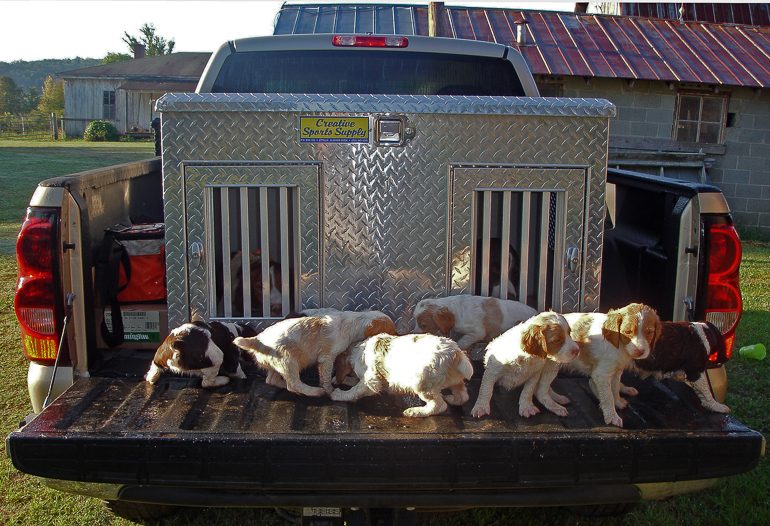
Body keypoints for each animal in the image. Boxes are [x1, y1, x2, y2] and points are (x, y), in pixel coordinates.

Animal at [232, 312, 396, 398]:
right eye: (391, 330)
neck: (353, 322)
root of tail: (256, 340)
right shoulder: (327, 358)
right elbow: (326, 377)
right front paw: (329, 390)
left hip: (276, 362)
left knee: (272, 380)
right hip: (289, 361)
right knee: (293, 384)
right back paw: (314, 391)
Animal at [328, 336, 472, 418]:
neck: (359, 349)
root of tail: (456, 353)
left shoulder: (370, 382)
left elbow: (354, 391)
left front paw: (339, 394)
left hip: (423, 384)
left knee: (439, 405)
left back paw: (416, 412)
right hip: (456, 381)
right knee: (463, 396)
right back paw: (453, 399)